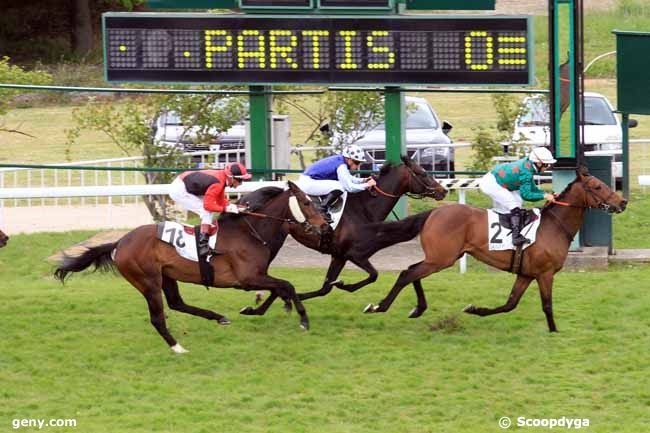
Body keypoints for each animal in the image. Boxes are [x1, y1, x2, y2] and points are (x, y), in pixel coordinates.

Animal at [53, 181, 330, 352]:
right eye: (306, 202)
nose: (326, 225)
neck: (251, 232)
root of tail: (120, 242)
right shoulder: (247, 278)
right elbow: (287, 285)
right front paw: (303, 320)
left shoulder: (258, 276)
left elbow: (279, 289)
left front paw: (256, 309)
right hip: (148, 281)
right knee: (158, 317)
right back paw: (177, 347)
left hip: (166, 276)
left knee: (177, 303)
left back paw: (219, 318)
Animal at [249, 153, 446, 314]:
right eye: (422, 173)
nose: (443, 191)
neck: (364, 208)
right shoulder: (355, 254)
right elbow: (373, 275)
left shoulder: (339, 256)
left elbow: (326, 288)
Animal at [364, 167, 624, 332]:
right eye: (597, 186)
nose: (622, 202)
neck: (554, 226)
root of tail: (433, 212)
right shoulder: (545, 273)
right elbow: (547, 305)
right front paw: (554, 331)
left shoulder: (526, 274)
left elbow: (510, 304)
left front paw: (474, 309)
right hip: (441, 258)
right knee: (408, 273)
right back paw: (379, 306)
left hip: (439, 258)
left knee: (412, 271)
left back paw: (417, 309)